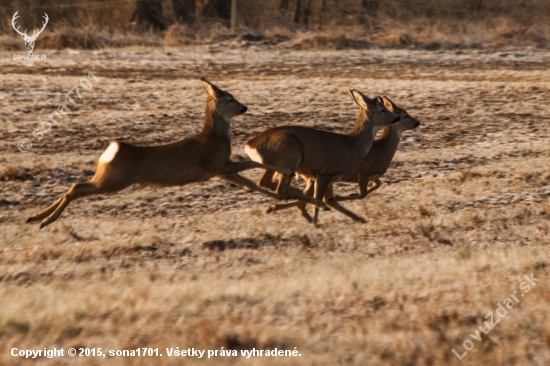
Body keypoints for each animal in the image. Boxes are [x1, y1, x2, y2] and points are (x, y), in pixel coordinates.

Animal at [247, 89, 402, 226]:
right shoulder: (325, 173)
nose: (397, 117)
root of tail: (250, 145)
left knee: (266, 183)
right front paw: (315, 224)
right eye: (383, 110)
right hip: (290, 157)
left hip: (277, 165)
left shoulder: (324, 177)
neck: (352, 145)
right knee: (279, 189)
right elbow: (321, 198)